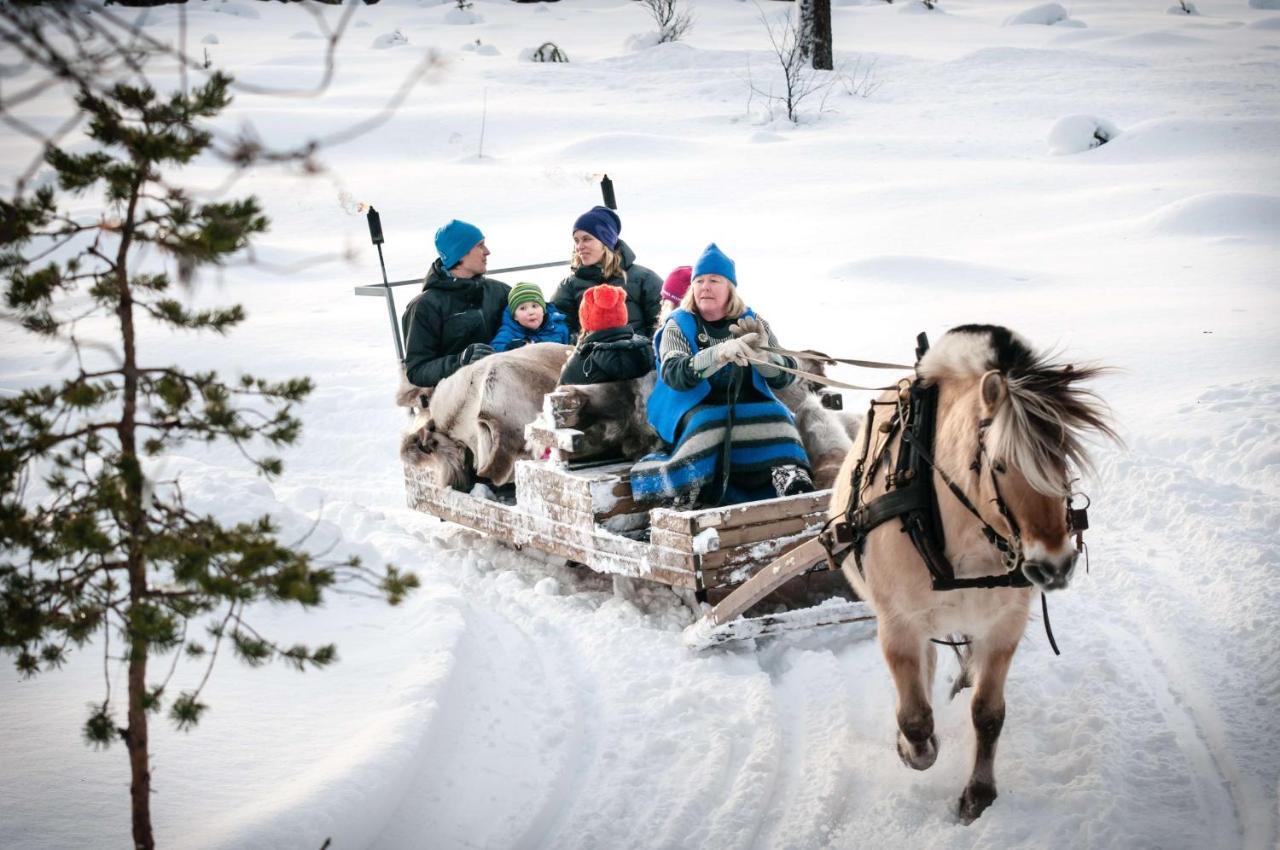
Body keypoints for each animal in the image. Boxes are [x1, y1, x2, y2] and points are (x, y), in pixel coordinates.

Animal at [829, 325, 1121, 824]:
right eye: (1000, 464)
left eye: (1063, 458)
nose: (1055, 566)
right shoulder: (897, 625)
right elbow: (914, 717)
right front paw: (913, 749)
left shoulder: (1004, 624)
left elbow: (988, 713)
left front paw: (979, 794)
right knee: (925, 672)